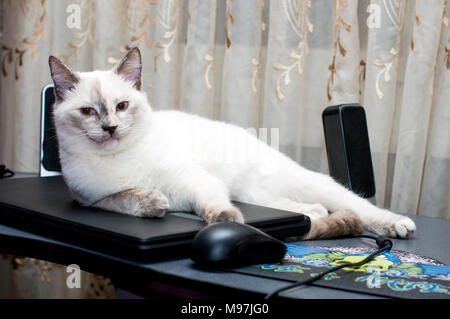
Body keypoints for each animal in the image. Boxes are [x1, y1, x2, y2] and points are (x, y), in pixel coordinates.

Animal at [48, 47, 414, 240]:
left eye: (122, 106)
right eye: (88, 112)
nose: (110, 128)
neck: (119, 159)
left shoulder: (195, 183)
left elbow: (214, 207)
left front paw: (227, 224)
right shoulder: (88, 200)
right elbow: (124, 199)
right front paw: (154, 203)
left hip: (308, 184)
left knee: (360, 206)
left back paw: (398, 225)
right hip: (258, 195)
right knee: (309, 210)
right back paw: (312, 213)